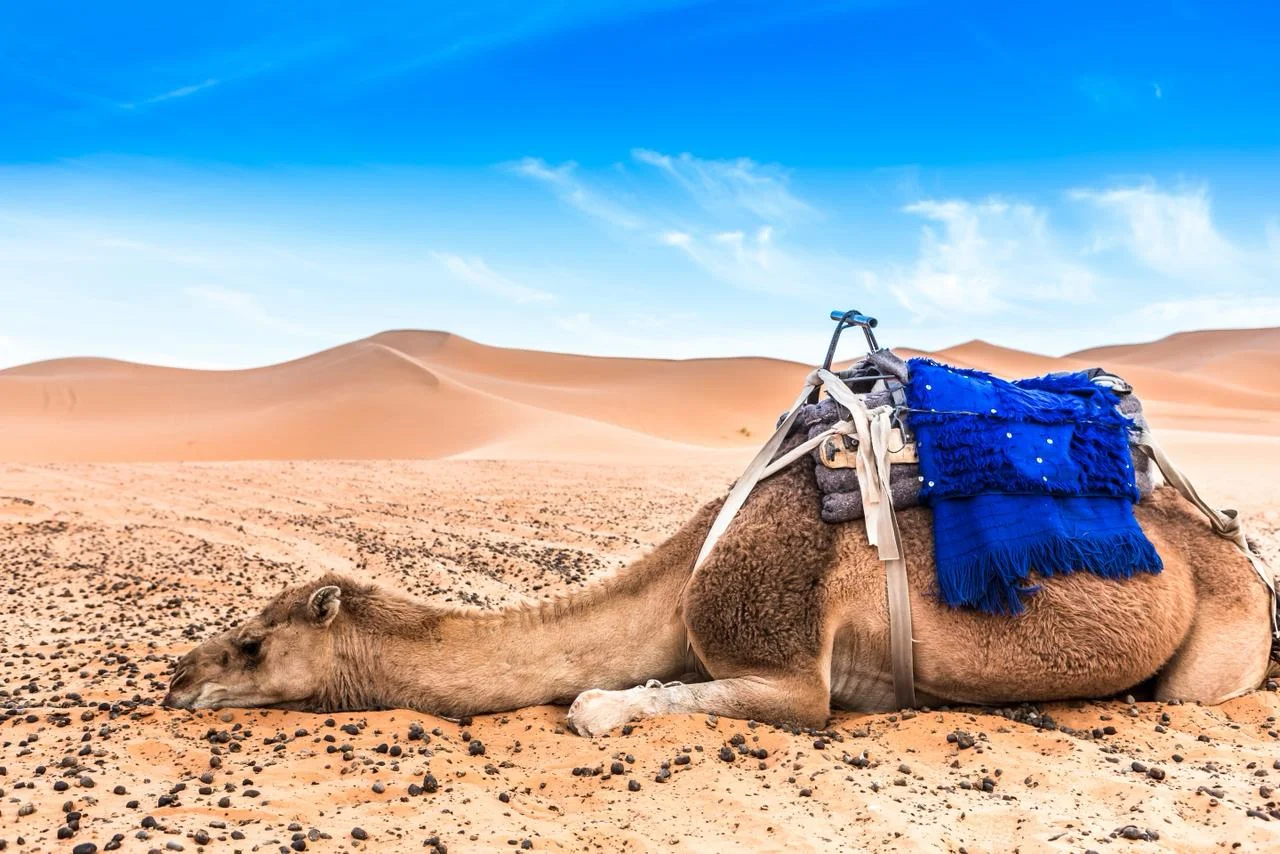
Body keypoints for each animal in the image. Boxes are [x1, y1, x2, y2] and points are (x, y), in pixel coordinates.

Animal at [163, 452, 1275, 736]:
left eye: (252, 643)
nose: (176, 677)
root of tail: (1239, 548)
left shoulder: (786, 668)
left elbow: (593, 706)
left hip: (1219, 635)